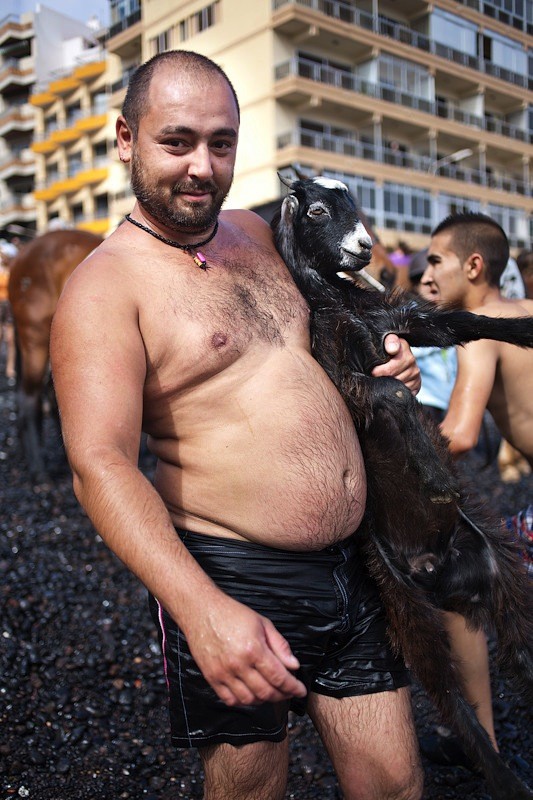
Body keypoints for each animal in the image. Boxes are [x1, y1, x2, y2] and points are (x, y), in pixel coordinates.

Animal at [271, 175, 533, 800]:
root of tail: (438, 573)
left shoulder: (403, 321)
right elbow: (391, 392)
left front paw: (530, 329)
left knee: (518, 652)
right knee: (451, 700)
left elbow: (469, 323)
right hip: (406, 609)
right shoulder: (337, 372)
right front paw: (438, 478)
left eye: (355, 199)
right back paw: (508, 782)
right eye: (316, 210)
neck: (340, 303)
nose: (366, 246)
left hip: (502, 568)